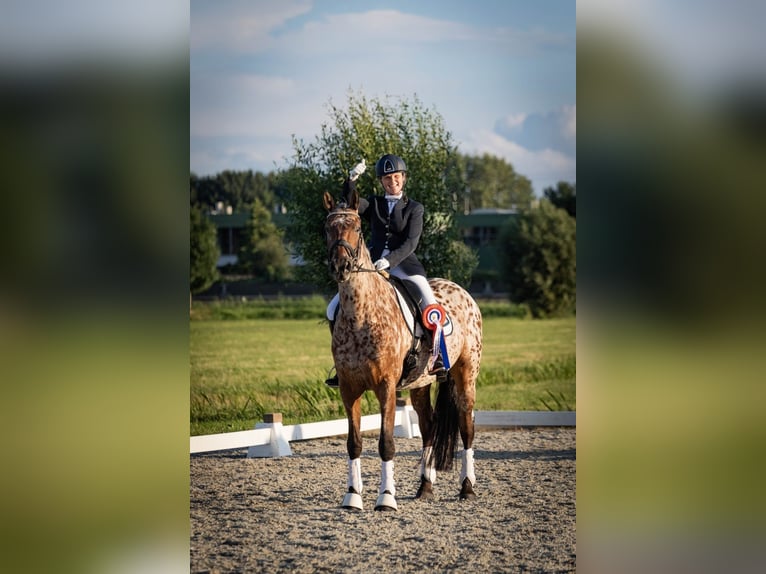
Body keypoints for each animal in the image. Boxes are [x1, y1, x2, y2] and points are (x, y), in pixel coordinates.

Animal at [322, 186, 483, 511]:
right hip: (421, 383)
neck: (361, 313)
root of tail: (461, 291)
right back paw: (425, 486)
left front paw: (386, 498)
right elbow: (354, 442)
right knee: (429, 426)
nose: (341, 267)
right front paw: (352, 496)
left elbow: (386, 443)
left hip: (466, 374)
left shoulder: (385, 387)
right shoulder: (348, 387)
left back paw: (467, 487)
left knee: (466, 426)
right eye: (327, 228)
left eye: (357, 228)